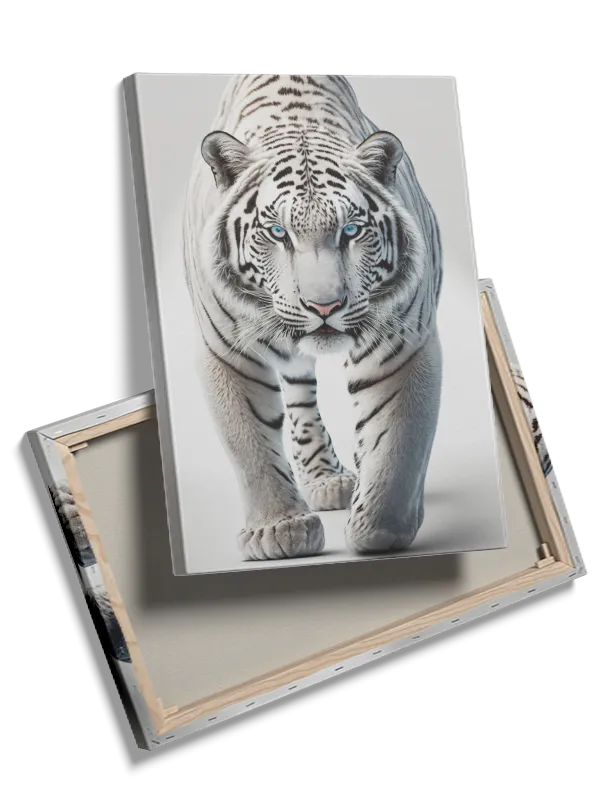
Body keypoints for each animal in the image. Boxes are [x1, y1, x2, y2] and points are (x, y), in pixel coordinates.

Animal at [183, 73, 443, 561]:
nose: (324, 307)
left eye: (351, 230)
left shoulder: (403, 344)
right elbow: (249, 443)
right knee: (300, 395)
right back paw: (324, 479)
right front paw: (277, 529)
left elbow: (397, 443)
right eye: (277, 232)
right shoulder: (228, 352)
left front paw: (380, 528)